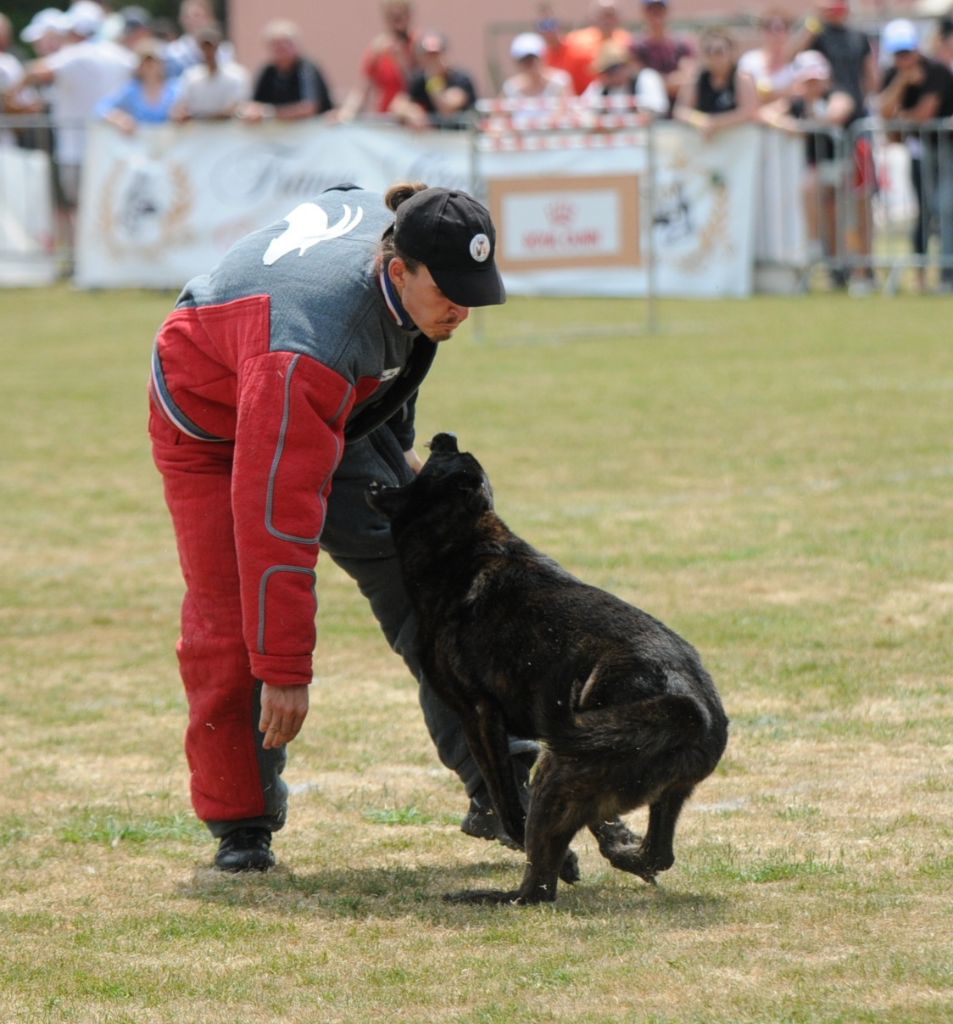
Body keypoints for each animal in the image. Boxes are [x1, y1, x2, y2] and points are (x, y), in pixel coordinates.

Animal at [366, 434, 728, 905]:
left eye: (444, 462)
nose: (446, 437)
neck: (464, 546)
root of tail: (691, 706)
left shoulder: (478, 716)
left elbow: (507, 803)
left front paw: (567, 856)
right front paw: (609, 839)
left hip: (556, 772)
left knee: (538, 888)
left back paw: (491, 894)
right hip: (662, 791)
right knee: (658, 854)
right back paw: (625, 855)